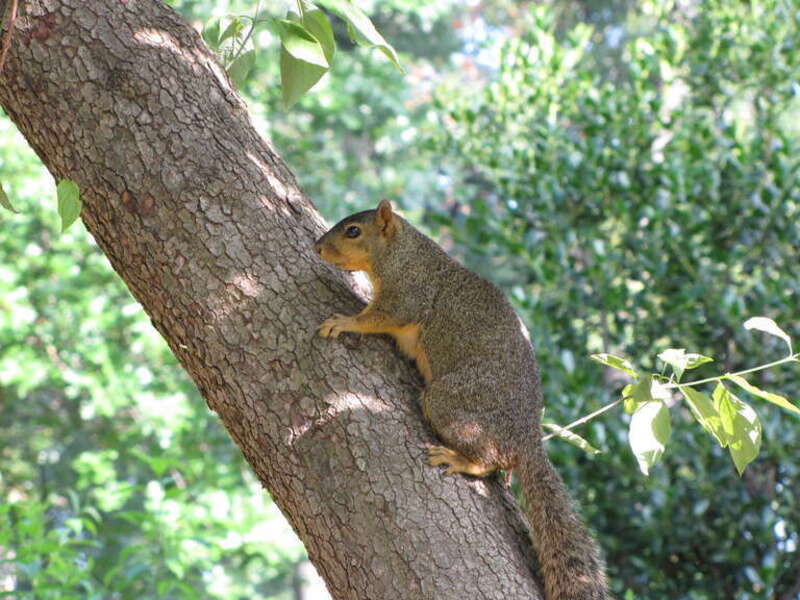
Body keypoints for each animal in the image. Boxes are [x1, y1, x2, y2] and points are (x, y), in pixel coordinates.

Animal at [314, 200, 609, 600]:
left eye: (353, 231)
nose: (317, 248)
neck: (402, 252)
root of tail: (526, 436)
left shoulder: (409, 294)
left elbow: (380, 316)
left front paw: (344, 321)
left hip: (451, 403)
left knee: (487, 460)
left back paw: (460, 459)